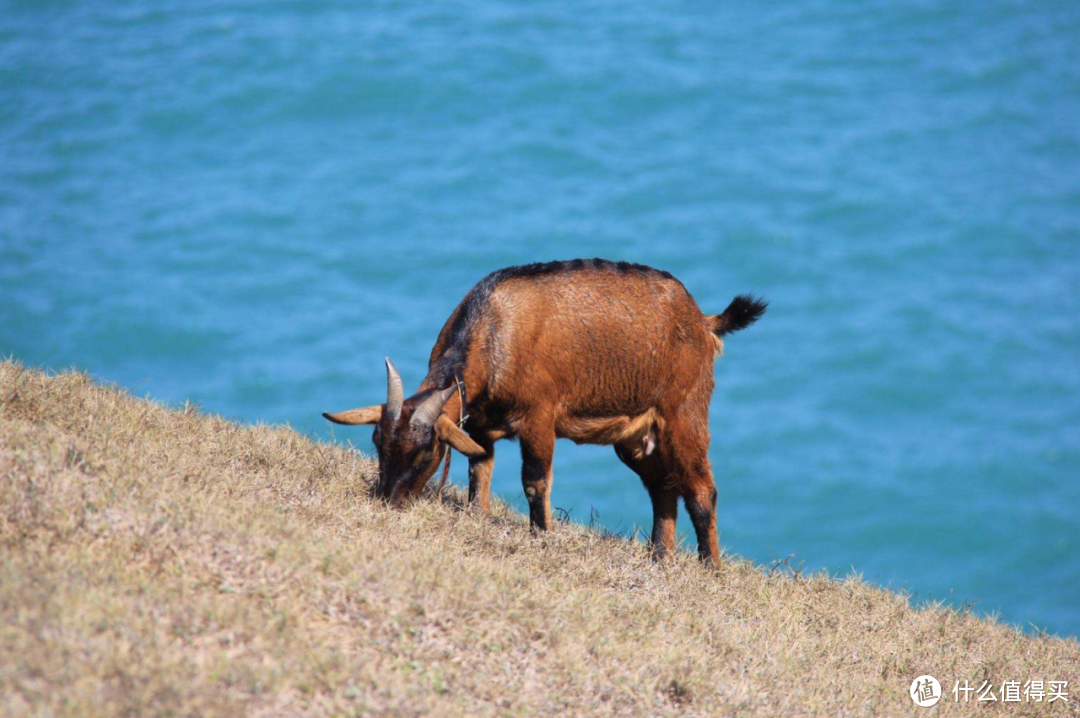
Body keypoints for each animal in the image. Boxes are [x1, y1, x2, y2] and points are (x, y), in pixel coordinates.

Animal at [324, 258, 764, 565]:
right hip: (635, 436)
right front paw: (477, 518)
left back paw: (710, 570)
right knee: (663, 487)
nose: (388, 503)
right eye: (378, 443)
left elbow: (535, 482)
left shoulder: (538, 417)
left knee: (701, 489)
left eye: (425, 452)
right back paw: (659, 558)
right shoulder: (479, 426)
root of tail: (704, 321)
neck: (495, 330)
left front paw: (540, 538)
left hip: (683, 411)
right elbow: (478, 473)